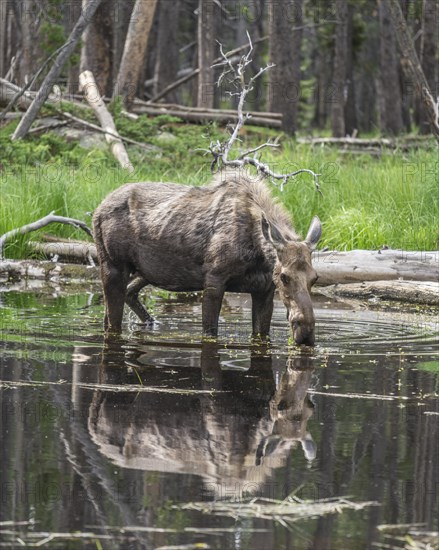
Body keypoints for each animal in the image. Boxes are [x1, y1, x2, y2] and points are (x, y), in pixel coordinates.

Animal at [93, 171, 322, 344]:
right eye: (284, 277)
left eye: (315, 278)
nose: (306, 332)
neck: (258, 255)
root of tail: (97, 210)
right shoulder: (214, 279)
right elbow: (210, 331)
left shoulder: (264, 291)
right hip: (112, 265)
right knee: (112, 320)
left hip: (145, 272)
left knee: (126, 296)